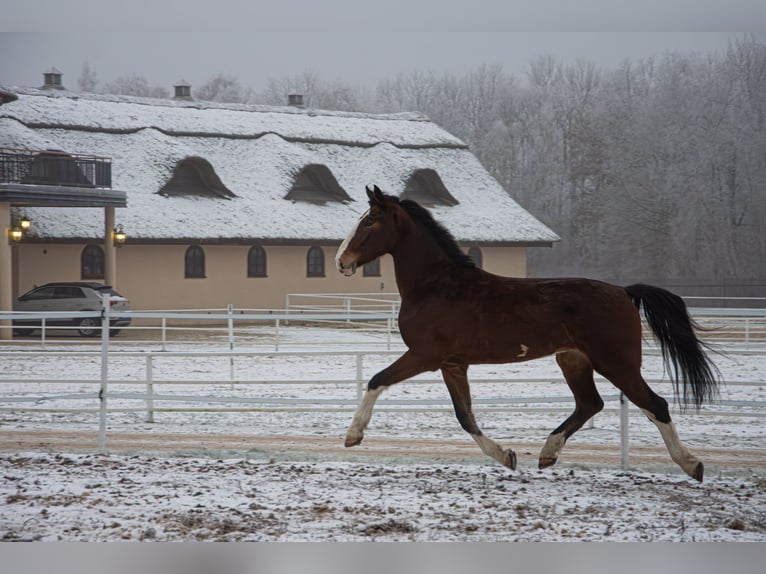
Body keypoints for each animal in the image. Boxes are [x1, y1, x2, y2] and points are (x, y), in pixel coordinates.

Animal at [334, 186, 720, 482]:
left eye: (369, 220)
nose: (341, 261)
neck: (436, 285)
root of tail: (625, 292)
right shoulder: (453, 364)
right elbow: (465, 416)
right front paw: (507, 456)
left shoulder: (424, 356)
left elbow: (376, 380)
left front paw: (353, 435)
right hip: (573, 360)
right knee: (590, 403)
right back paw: (547, 454)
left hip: (618, 364)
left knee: (655, 404)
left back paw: (692, 464)